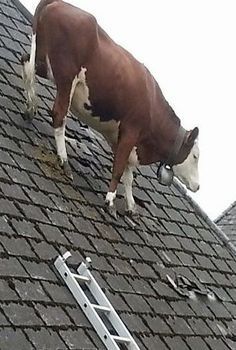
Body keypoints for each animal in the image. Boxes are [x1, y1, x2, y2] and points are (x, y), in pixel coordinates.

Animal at [21, 0, 200, 216]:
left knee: (26, 65)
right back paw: (64, 160)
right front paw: (110, 200)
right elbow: (119, 169)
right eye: (196, 156)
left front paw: (131, 205)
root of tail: (58, 2)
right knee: (58, 115)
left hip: (43, 60)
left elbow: (128, 174)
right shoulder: (131, 130)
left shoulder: (121, 139)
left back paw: (30, 107)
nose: (198, 186)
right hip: (66, 75)